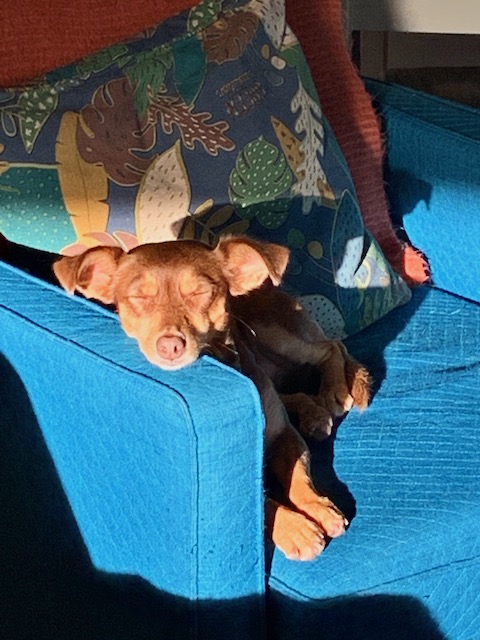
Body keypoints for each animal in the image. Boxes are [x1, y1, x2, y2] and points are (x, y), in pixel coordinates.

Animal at [53, 235, 368, 560]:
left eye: (201, 292)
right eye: (137, 298)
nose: (170, 345)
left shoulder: (283, 435)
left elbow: (298, 479)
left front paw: (319, 507)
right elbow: (262, 501)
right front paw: (296, 528)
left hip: (277, 336)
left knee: (332, 347)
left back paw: (334, 391)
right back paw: (313, 413)